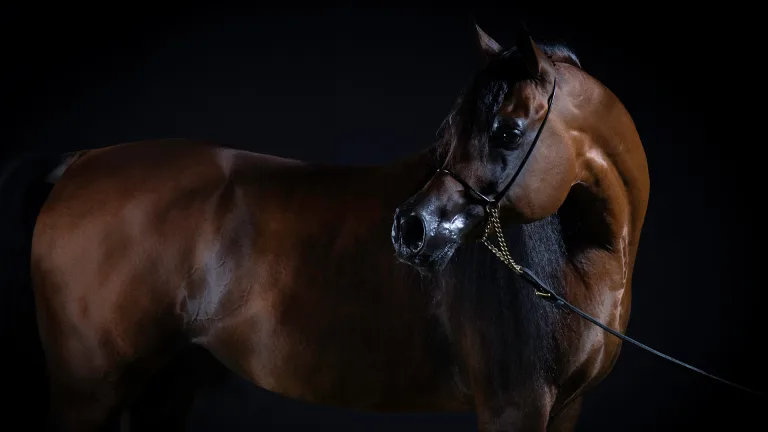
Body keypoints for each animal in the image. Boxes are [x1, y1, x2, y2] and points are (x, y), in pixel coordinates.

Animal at [3, 24, 649, 431]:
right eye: (450, 129)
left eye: (509, 130)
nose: (411, 230)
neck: (571, 263)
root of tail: (82, 162)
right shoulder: (514, 406)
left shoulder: (564, 409)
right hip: (87, 390)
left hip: (161, 386)